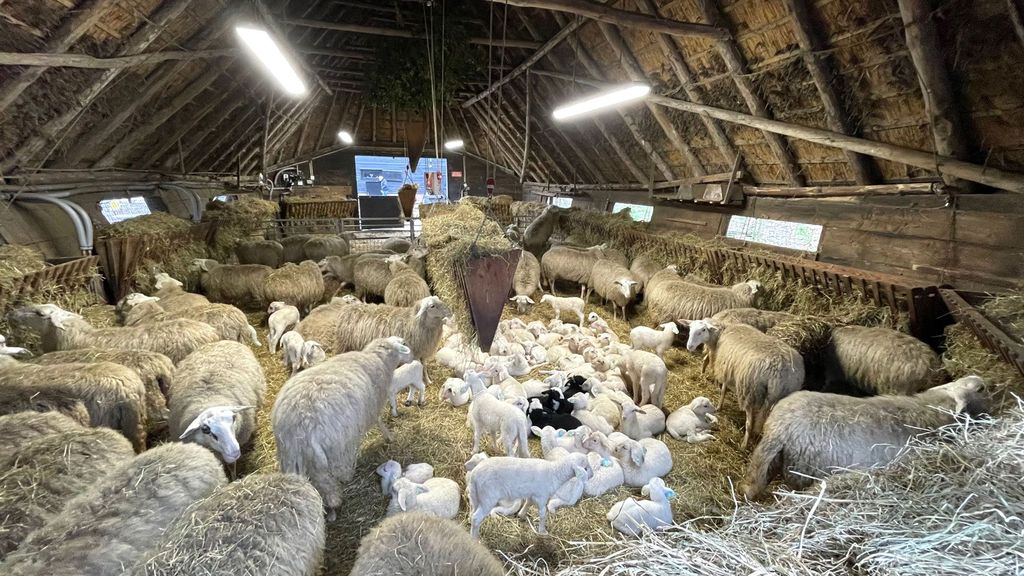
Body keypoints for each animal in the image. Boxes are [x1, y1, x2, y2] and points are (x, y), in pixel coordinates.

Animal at [272, 337, 414, 520]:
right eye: (403, 343)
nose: (413, 357)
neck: (378, 358)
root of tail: (298, 426)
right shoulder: (373, 406)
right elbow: (379, 422)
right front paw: (389, 437)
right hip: (333, 452)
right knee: (329, 485)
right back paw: (335, 504)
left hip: (292, 456)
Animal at [686, 319, 805, 448]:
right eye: (690, 328)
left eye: (703, 330)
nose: (689, 346)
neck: (721, 333)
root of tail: (782, 369)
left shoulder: (727, 368)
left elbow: (723, 390)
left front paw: (719, 406)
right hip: (781, 395)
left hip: (749, 389)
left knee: (750, 423)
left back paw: (744, 444)